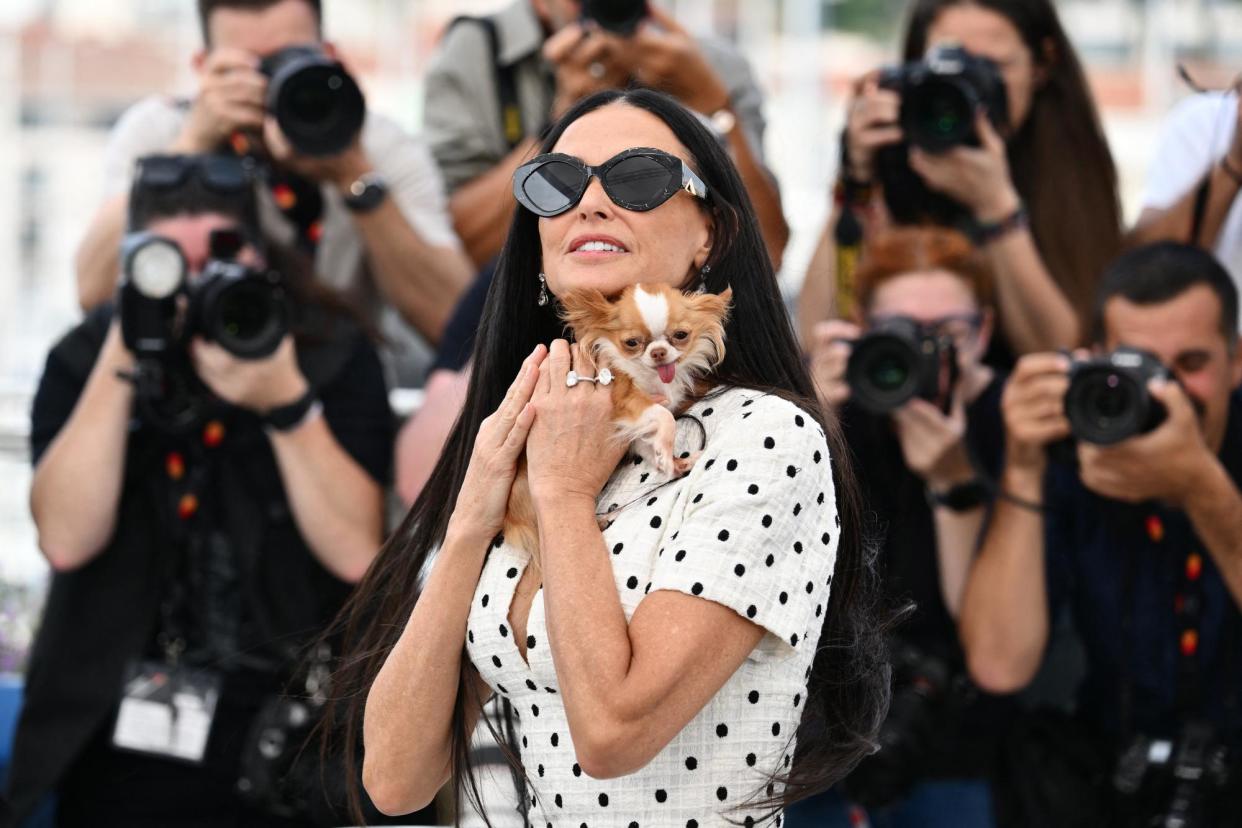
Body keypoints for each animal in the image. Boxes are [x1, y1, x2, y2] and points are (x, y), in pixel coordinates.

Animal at [504, 281, 730, 566]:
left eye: (681, 335)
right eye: (632, 343)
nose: (658, 351)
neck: (649, 377)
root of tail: (510, 519)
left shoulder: (634, 431)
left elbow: (649, 444)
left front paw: (671, 462)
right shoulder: (627, 401)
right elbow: (665, 417)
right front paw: (668, 454)